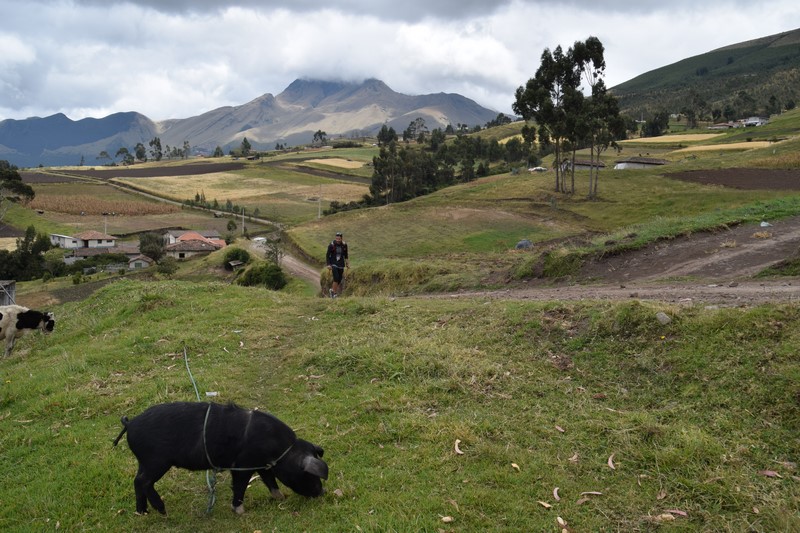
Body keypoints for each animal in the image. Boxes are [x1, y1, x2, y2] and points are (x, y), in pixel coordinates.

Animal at [113, 401, 329, 515]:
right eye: (309, 474)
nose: (322, 493)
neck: (281, 449)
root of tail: (130, 424)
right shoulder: (243, 464)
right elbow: (240, 486)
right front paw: (240, 512)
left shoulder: (261, 465)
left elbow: (270, 481)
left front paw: (281, 498)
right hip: (156, 461)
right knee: (143, 481)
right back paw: (162, 511)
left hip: (145, 462)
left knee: (137, 482)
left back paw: (143, 512)